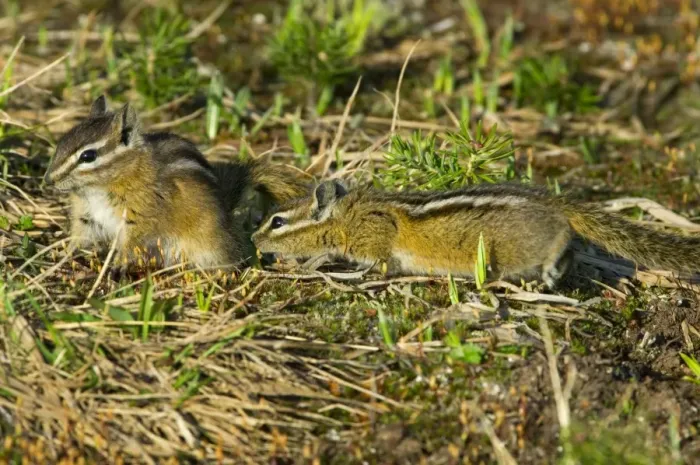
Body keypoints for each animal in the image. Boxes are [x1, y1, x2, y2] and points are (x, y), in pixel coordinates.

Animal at [43, 95, 310, 270]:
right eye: (62, 142)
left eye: (88, 156)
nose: (48, 180)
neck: (97, 189)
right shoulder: (87, 215)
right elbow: (81, 236)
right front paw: (64, 253)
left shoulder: (140, 216)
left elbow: (130, 243)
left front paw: (117, 265)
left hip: (207, 244)